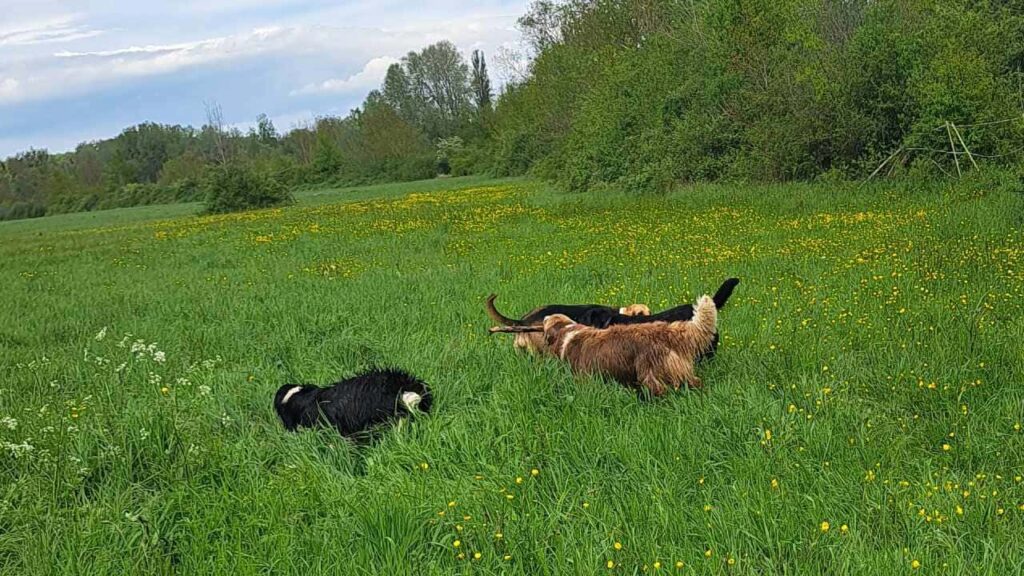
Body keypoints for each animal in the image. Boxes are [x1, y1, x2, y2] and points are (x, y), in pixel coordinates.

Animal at [540, 295, 716, 393]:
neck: (567, 332)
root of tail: (668, 331)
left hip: (648, 370)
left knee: (658, 389)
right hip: (679, 370)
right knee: (694, 382)